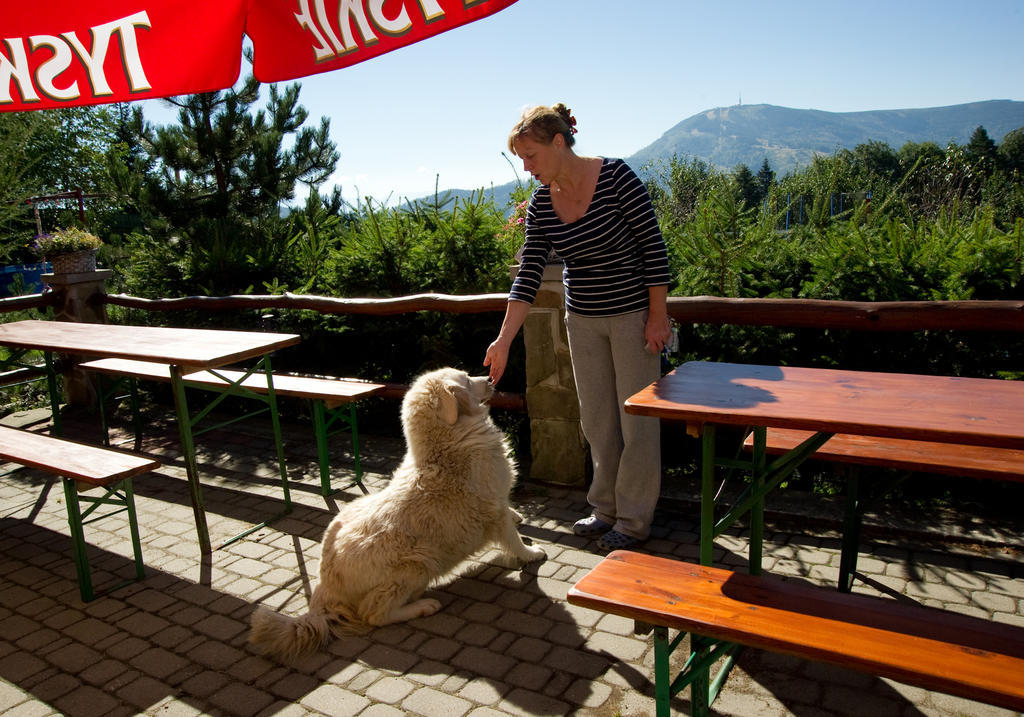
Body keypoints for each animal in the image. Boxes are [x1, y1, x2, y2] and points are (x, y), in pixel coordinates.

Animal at [247, 366, 544, 659]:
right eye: (467, 380)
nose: (491, 378)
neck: (450, 442)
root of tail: (326, 586)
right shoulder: (493, 508)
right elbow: (513, 539)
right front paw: (531, 554)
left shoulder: (499, 499)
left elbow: (510, 511)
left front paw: (518, 516)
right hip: (419, 562)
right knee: (375, 614)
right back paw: (422, 606)